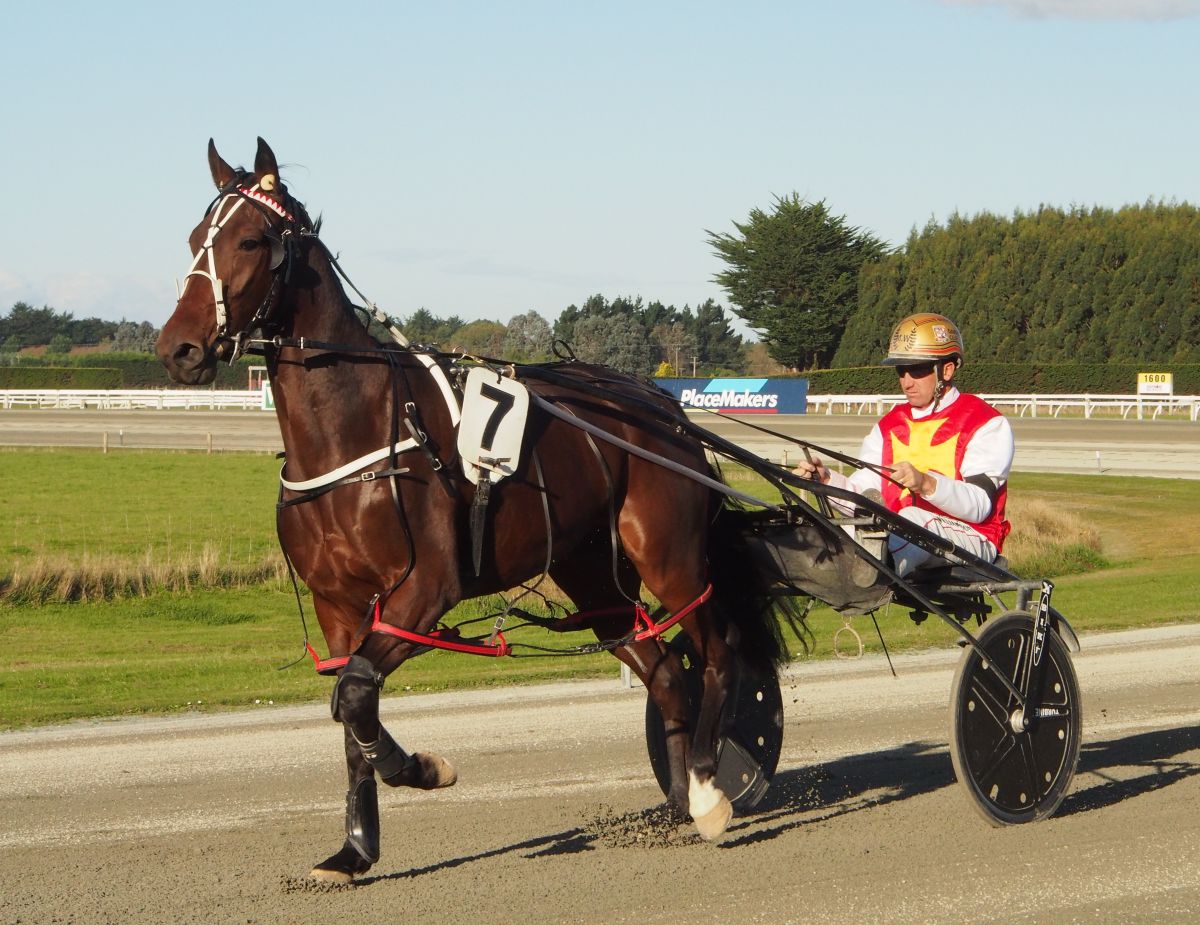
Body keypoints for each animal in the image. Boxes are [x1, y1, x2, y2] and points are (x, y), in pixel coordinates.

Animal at [156, 138, 799, 882]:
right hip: (591, 573)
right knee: (664, 671)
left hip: (669, 553)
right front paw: (354, 848)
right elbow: (349, 707)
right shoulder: (337, 604)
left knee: (718, 649)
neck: (355, 430)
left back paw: (707, 790)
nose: (178, 348)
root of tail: (660, 404)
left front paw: (423, 768)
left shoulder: (426, 589)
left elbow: (355, 694)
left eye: (251, 239)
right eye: (194, 239)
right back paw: (676, 799)